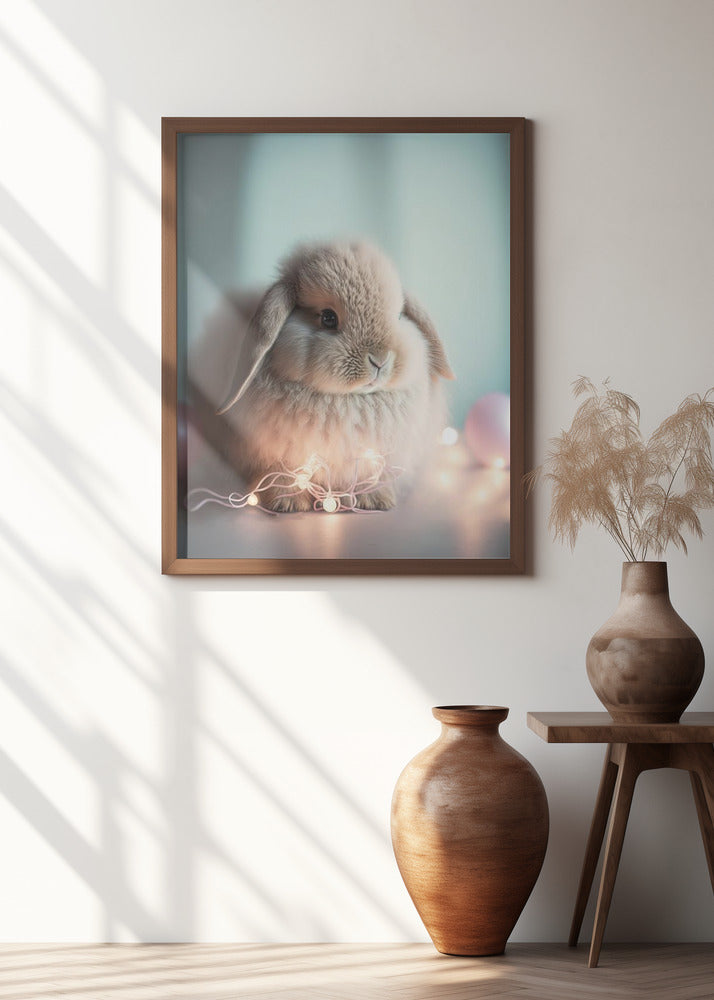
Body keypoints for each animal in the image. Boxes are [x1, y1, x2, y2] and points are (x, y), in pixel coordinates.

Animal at [192, 240, 454, 513]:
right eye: (328, 318)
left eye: (399, 316)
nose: (380, 360)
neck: (348, 401)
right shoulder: (277, 455)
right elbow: (284, 474)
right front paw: (288, 503)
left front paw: (375, 500)